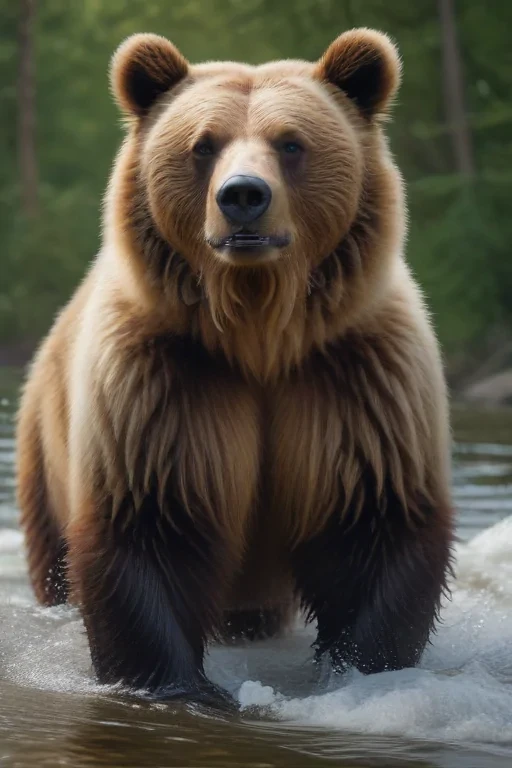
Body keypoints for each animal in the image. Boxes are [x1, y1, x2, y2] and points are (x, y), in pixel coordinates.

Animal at [16, 28, 454, 704]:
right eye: (203, 145)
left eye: (291, 142)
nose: (243, 196)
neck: (260, 334)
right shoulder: (165, 381)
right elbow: (150, 522)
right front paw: (180, 686)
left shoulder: (356, 378)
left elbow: (376, 523)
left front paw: (358, 669)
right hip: (45, 445)